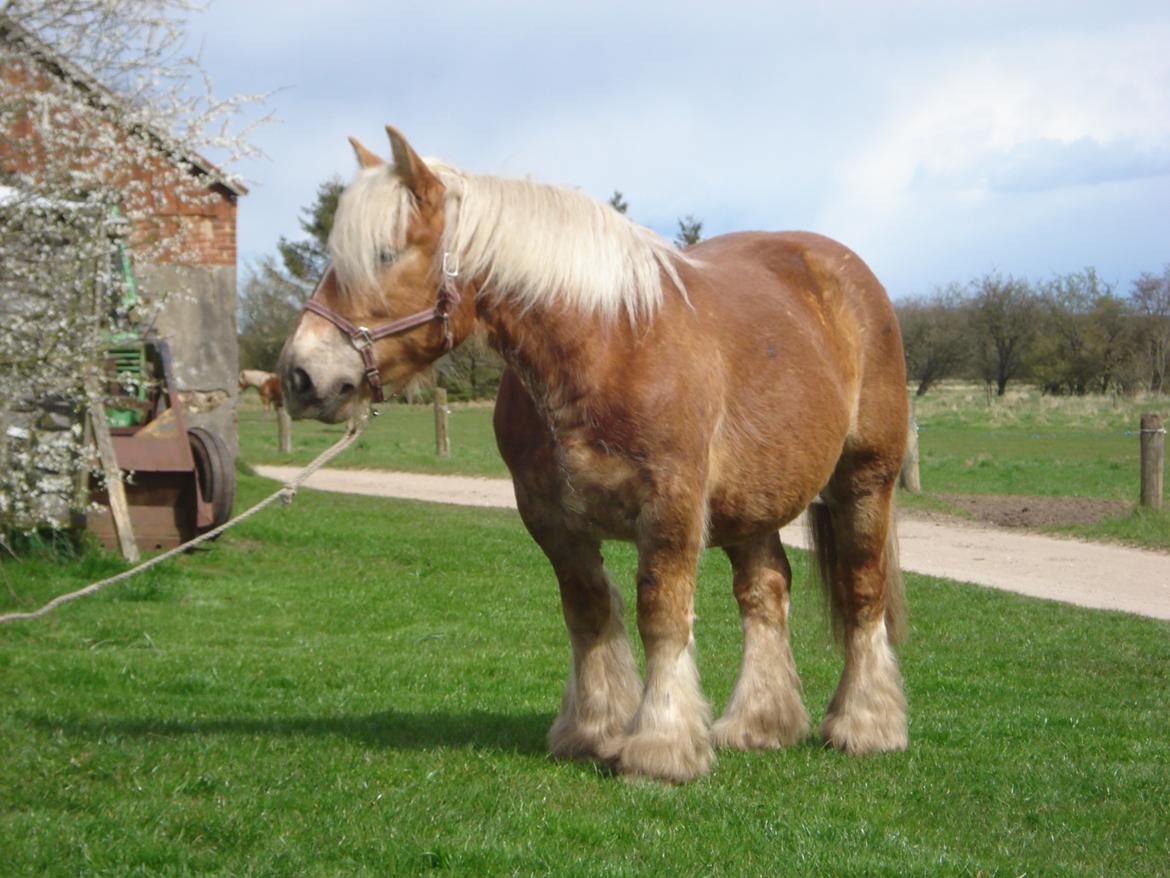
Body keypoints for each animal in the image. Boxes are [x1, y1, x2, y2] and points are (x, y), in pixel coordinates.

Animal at [278, 125, 907, 782]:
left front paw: (660, 746)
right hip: (752, 501)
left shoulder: (672, 509)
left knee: (863, 588)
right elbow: (588, 612)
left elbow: (661, 616)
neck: (607, 346)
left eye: (384, 254)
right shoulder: (552, 519)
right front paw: (594, 730)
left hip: (865, 480)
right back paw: (760, 725)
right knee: (765, 591)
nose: (300, 376)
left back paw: (866, 724)